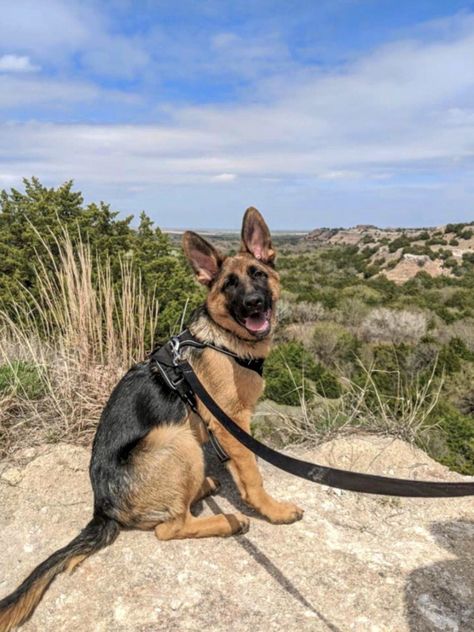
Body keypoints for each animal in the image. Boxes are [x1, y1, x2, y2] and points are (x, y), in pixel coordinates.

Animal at [0, 206, 304, 628]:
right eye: (229, 285)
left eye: (258, 274)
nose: (254, 303)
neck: (223, 341)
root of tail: (103, 507)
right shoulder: (231, 424)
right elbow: (253, 475)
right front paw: (273, 511)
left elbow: (244, 471)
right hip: (176, 440)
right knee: (169, 528)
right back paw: (226, 521)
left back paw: (204, 487)